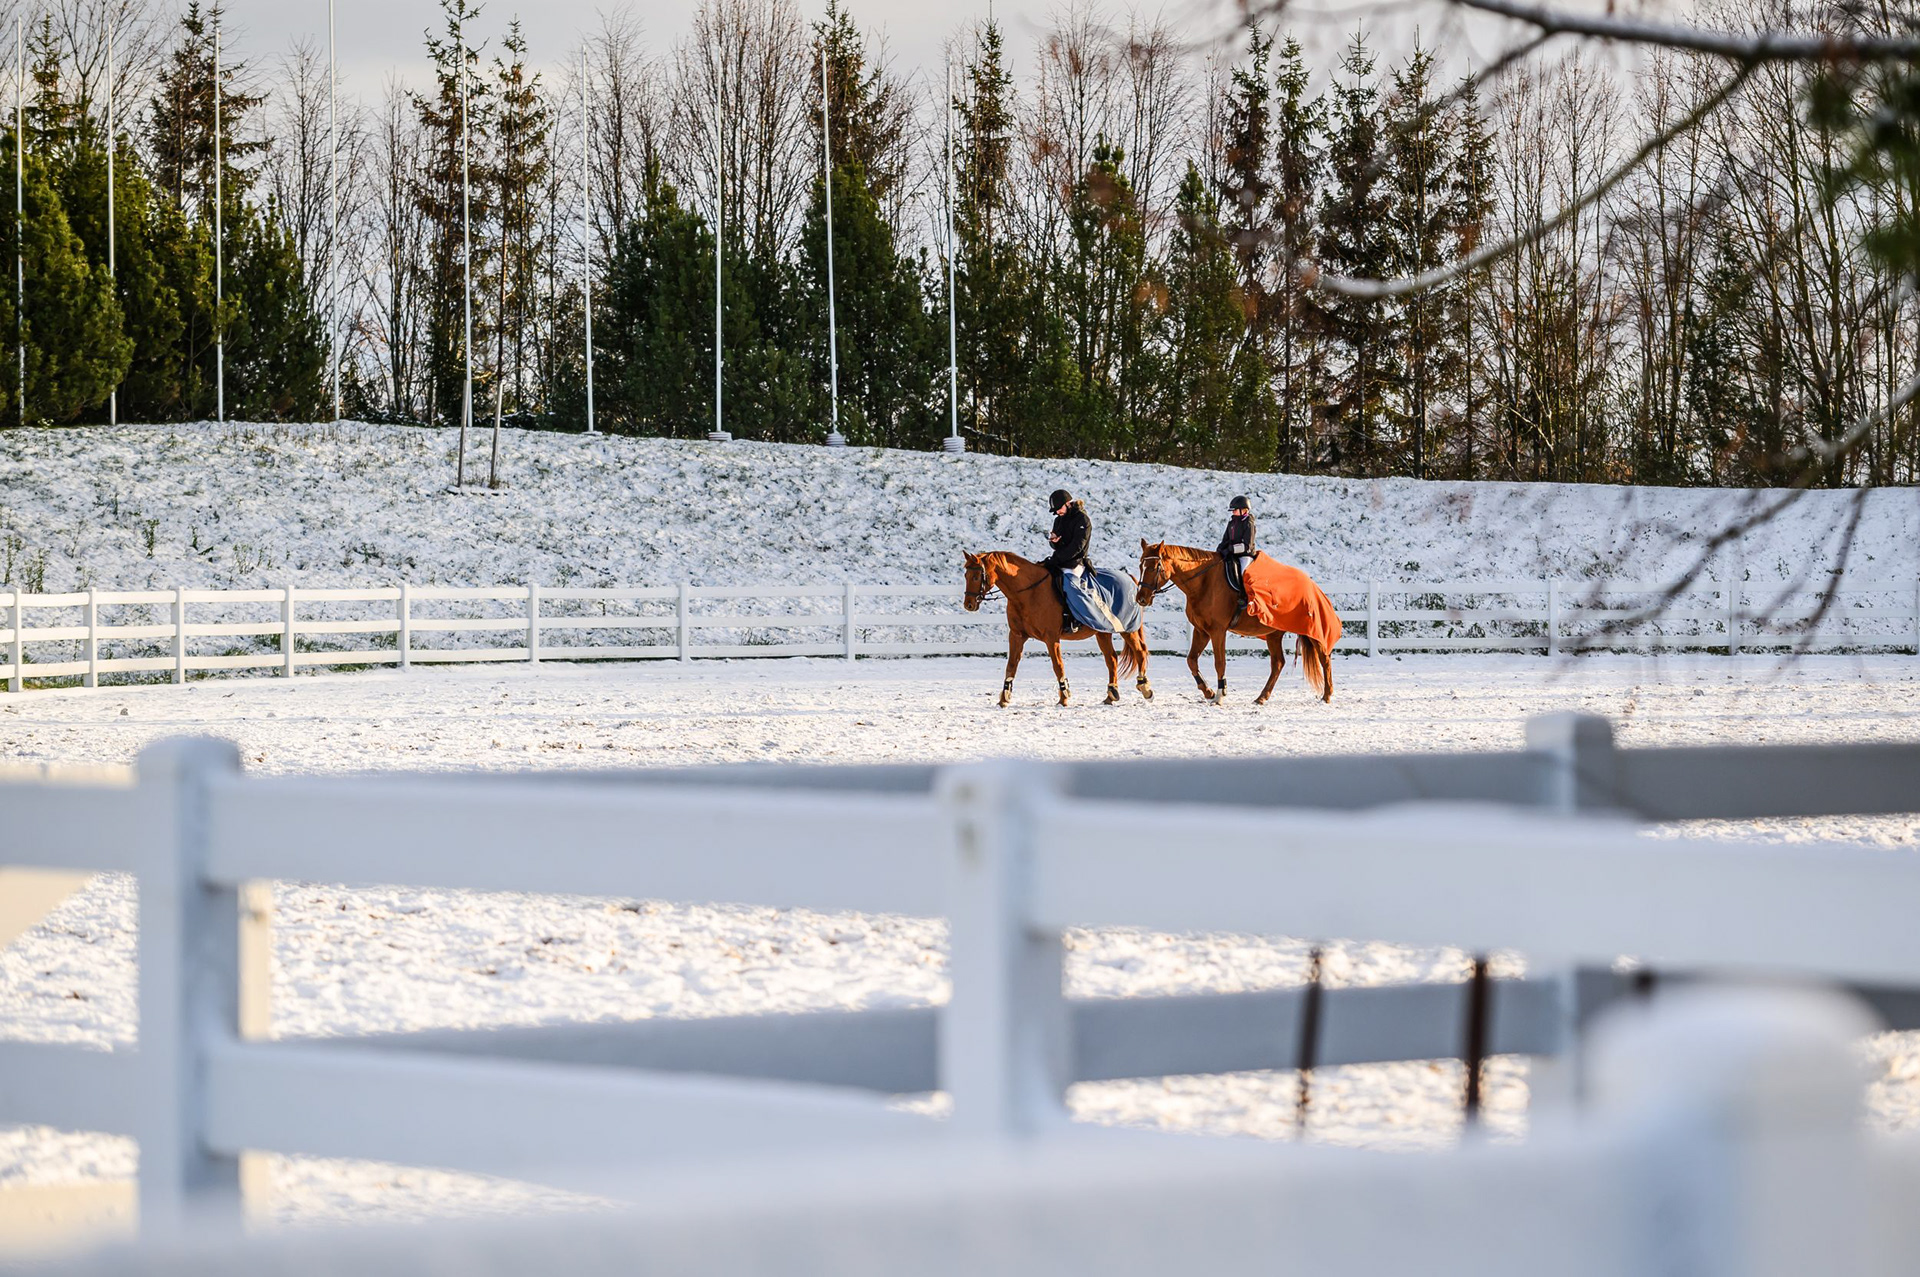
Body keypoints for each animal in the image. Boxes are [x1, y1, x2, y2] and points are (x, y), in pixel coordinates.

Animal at [963, 551, 1152, 707]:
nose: (969, 605)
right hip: (1102, 631)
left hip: (1127, 629)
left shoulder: (1051, 637)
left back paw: (1144, 688)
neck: (1028, 592)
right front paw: (1004, 698)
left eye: (976, 576)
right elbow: (1011, 665)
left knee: (1140, 652)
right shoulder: (1017, 635)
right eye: (966, 575)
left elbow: (1058, 665)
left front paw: (1064, 698)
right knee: (1111, 659)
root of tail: (1130, 578)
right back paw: (1111, 695)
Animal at [1135, 541, 1335, 705]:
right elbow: (1191, 660)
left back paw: (1327, 695)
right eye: (1141, 565)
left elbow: (1220, 663)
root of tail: (1311, 584)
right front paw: (1208, 692)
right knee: (1278, 663)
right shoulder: (1201, 631)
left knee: (1324, 657)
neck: (1204, 582)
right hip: (1273, 634)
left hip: (1311, 630)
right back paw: (1261, 697)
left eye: (1155, 567)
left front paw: (1219, 694)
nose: (1141, 599)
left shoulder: (1217, 631)